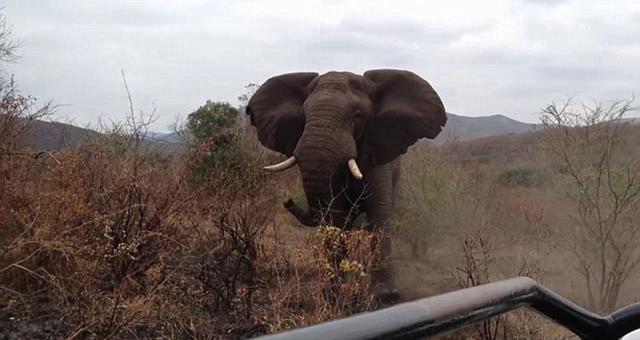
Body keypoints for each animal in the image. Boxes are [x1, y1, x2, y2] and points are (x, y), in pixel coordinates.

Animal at [245, 69, 444, 300]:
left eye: (357, 115)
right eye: (304, 114)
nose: (287, 200)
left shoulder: (378, 154)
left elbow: (379, 212)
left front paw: (385, 296)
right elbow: (335, 215)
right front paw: (333, 294)